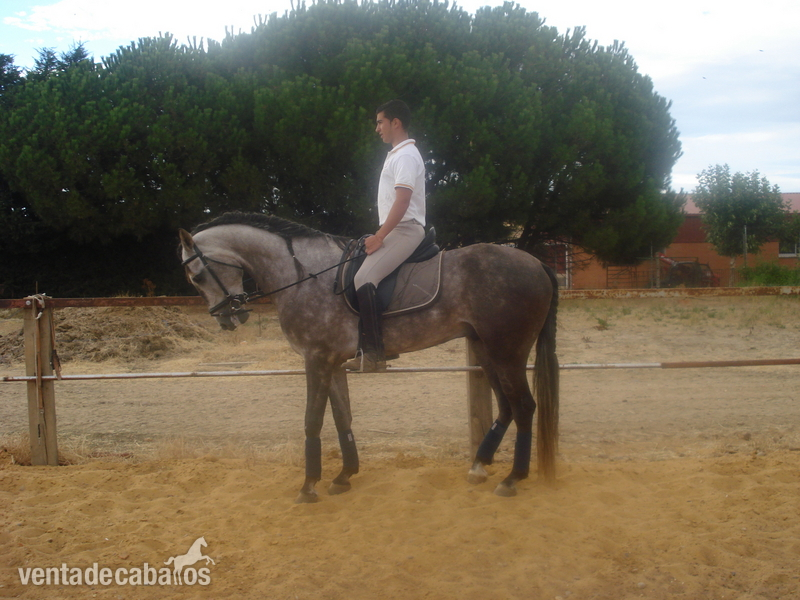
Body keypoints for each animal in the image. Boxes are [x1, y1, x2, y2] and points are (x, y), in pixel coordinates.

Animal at [178, 212, 559, 503]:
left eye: (197, 276)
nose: (227, 319)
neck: (304, 275)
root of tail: (536, 263)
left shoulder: (316, 359)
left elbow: (312, 421)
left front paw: (308, 486)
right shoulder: (331, 362)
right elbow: (341, 418)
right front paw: (344, 475)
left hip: (507, 352)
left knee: (524, 407)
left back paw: (512, 478)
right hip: (486, 351)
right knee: (507, 407)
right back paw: (480, 465)